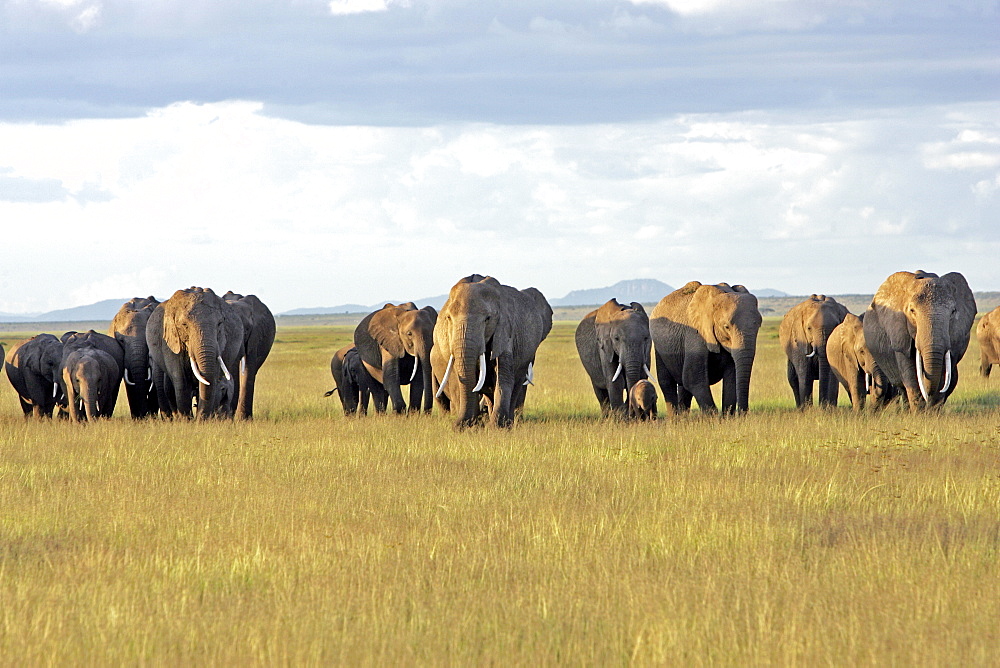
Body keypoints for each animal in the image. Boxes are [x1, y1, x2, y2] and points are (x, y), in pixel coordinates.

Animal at [145, 286, 244, 418]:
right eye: (184, 325)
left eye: (219, 324)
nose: (199, 419)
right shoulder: (169, 341)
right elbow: (181, 379)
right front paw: (186, 420)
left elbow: (212, 379)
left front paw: (202, 420)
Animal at [432, 276, 556, 428]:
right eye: (448, 318)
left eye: (487, 319)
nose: (458, 426)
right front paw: (465, 427)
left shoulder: (505, 330)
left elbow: (503, 376)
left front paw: (497, 427)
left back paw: (507, 423)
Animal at [644, 280, 760, 414]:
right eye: (726, 327)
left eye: (759, 325)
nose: (742, 414)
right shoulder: (695, 333)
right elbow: (693, 378)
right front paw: (714, 417)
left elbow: (732, 378)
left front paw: (726, 417)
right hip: (660, 347)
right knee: (667, 382)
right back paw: (675, 418)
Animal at [864, 268, 972, 410]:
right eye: (912, 311)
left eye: (953, 311)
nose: (928, 398)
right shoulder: (899, 333)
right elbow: (910, 374)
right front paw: (920, 412)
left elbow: (943, 373)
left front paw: (933, 412)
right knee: (902, 387)